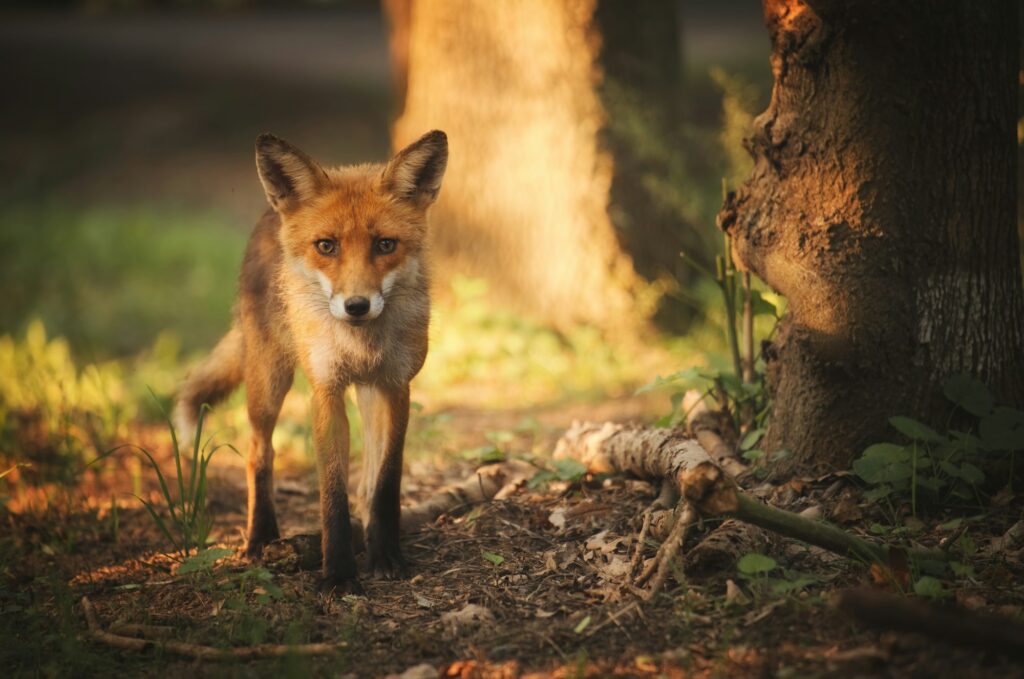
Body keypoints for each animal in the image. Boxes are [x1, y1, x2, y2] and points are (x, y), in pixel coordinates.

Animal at [173, 129, 448, 593]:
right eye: (326, 246)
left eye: (385, 245)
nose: (357, 306)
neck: (360, 345)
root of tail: (270, 214)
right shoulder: (326, 390)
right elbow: (332, 494)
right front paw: (337, 574)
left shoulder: (395, 386)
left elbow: (385, 483)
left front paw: (384, 555)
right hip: (269, 380)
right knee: (257, 453)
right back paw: (260, 537)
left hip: (364, 393)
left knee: (366, 481)